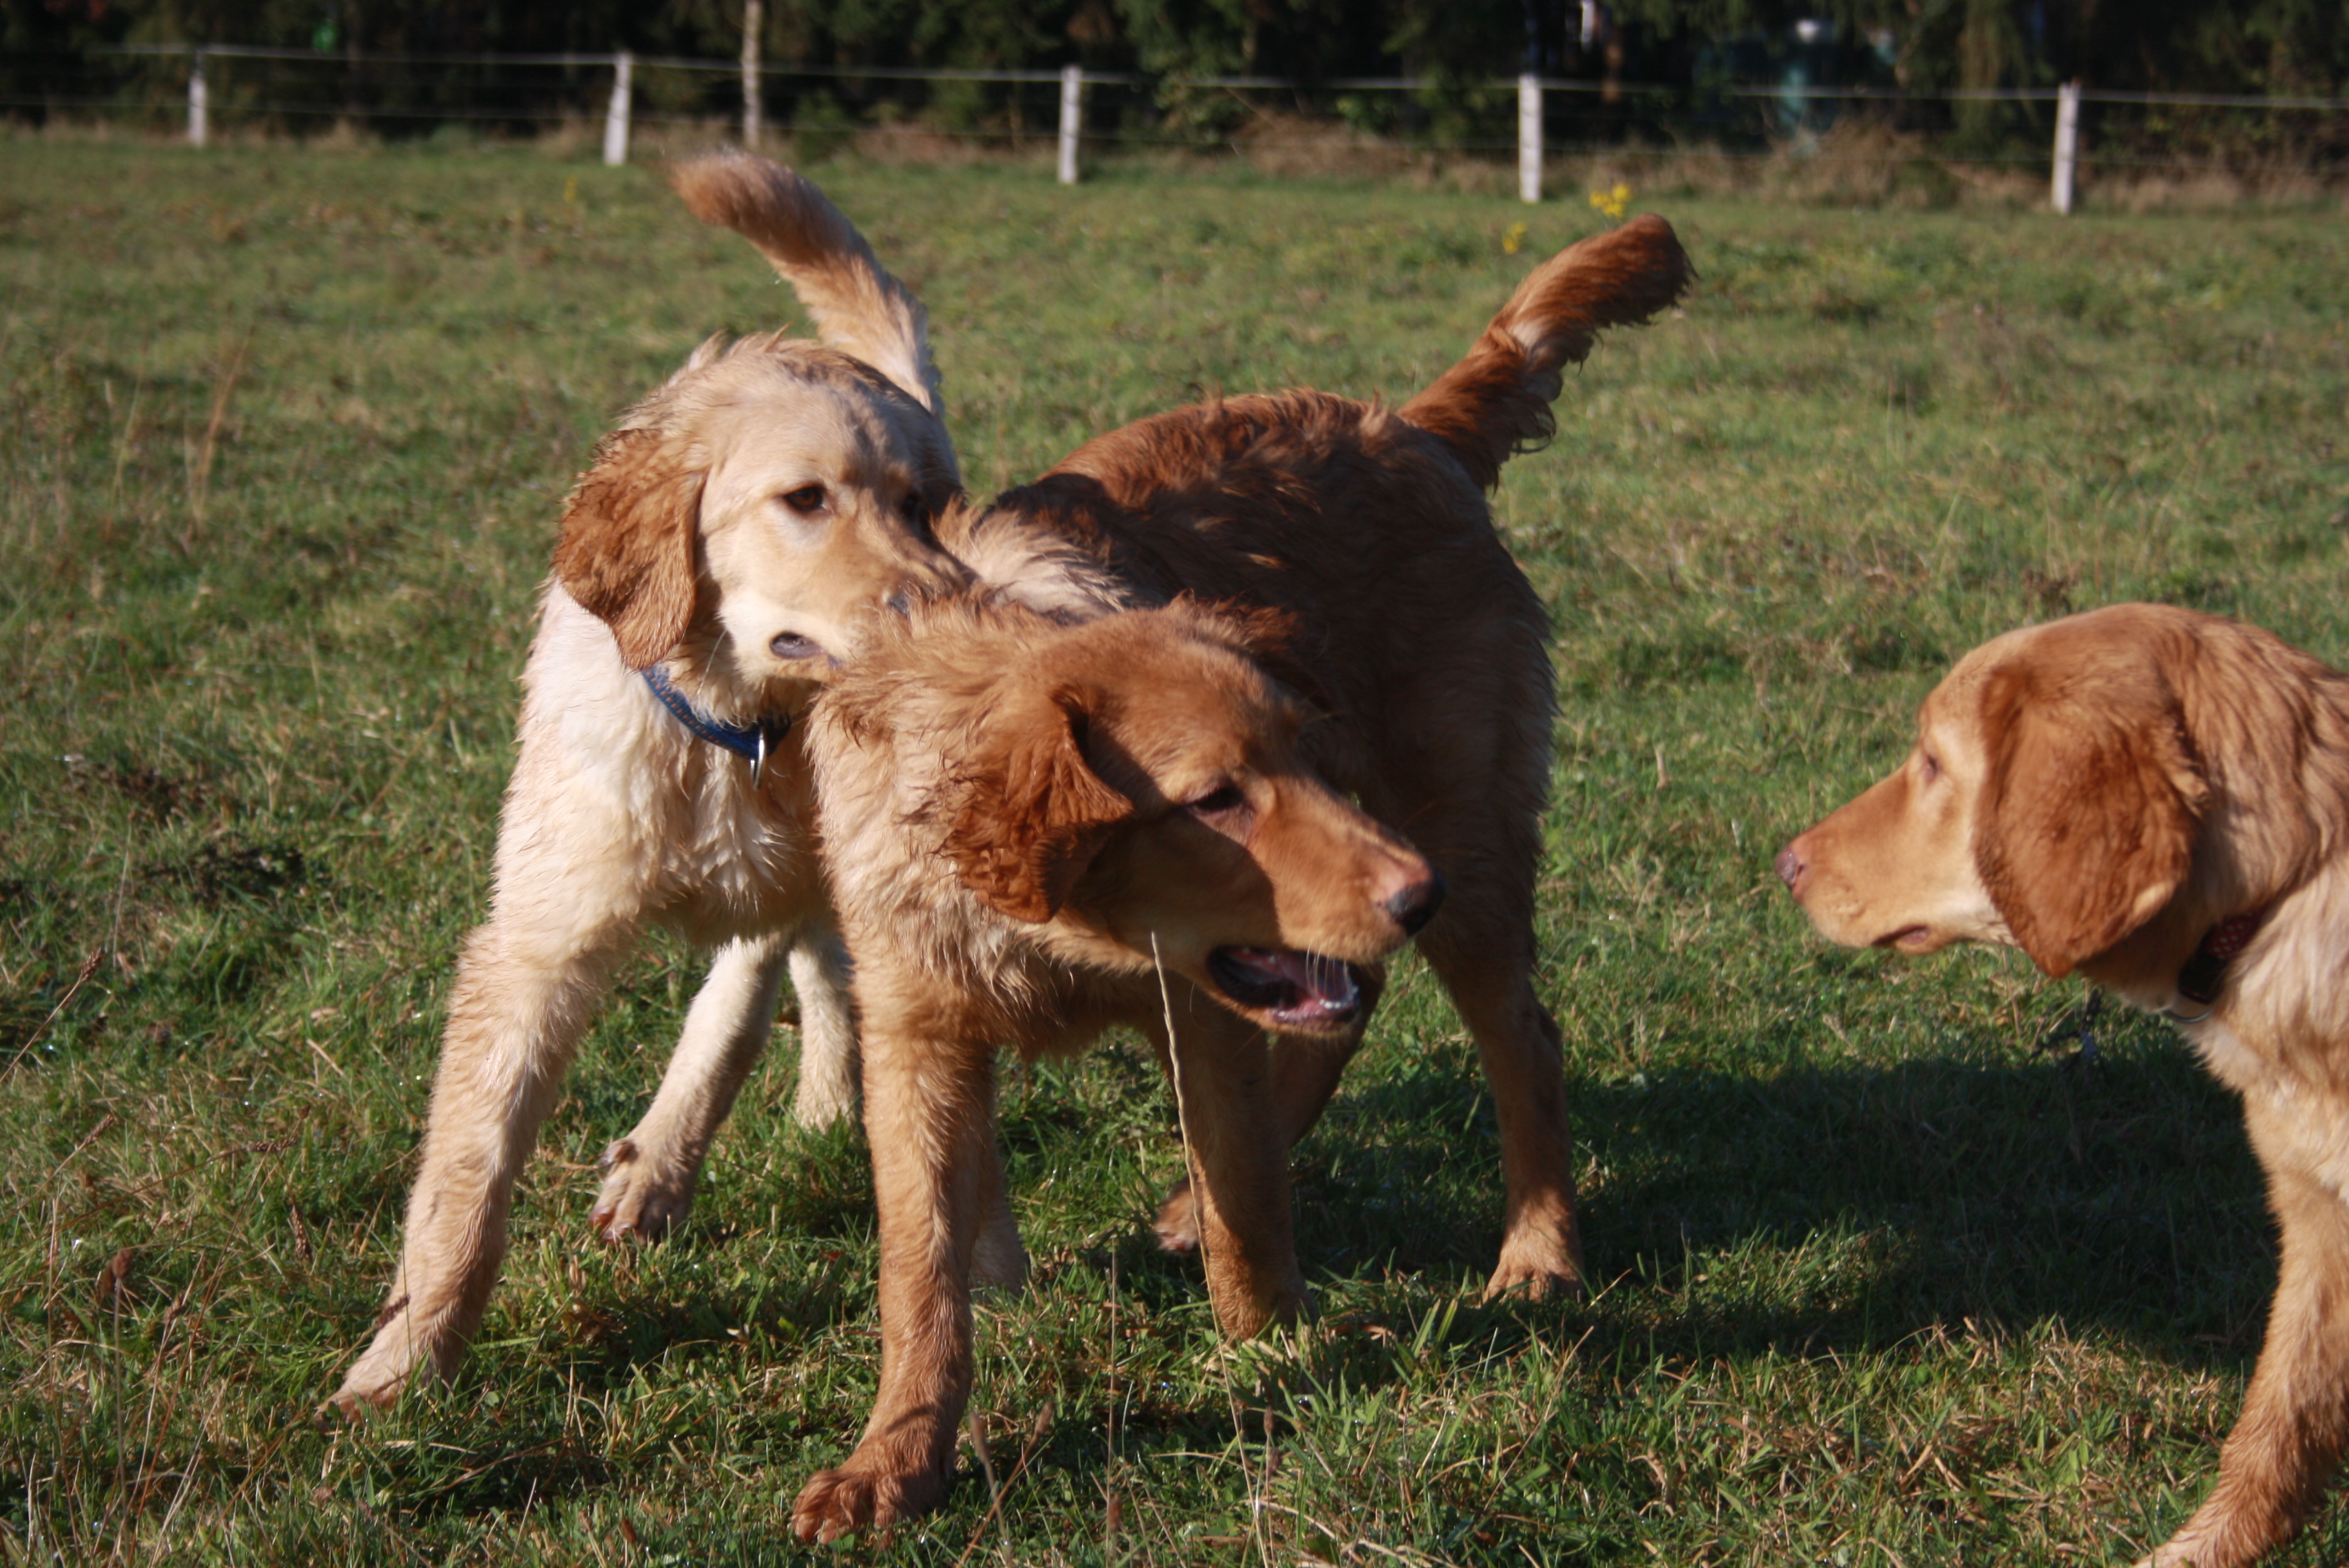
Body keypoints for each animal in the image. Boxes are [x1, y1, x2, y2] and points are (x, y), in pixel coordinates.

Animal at [328, 152, 972, 1415]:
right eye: (806, 499)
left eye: (926, 504)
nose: (957, 606)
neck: (730, 737)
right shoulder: (534, 939)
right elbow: (467, 1176)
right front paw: (406, 1362)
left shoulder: (782, 874)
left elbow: (728, 1016)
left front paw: (658, 1167)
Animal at [780, 215, 1694, 1538]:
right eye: (1214, 799)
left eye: (1298, 753)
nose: (1410, 895)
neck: (1052, 928)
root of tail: (1406, 424)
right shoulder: (919, 1037)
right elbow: (921, 1274)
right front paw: (894, 1457)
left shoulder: (1199, 1012)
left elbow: (1252, 1219)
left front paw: (1277, 1361)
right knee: (1345, 1019)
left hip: (1468, 845)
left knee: (1521, 1039)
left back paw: (1537, 1256)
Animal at [1777, 602, 2349, 1568]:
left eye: (1932, 761)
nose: (1786, 862)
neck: (2291, 889)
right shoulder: (2316, 1217)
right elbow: (2279, 1418)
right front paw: (2201, 1551)